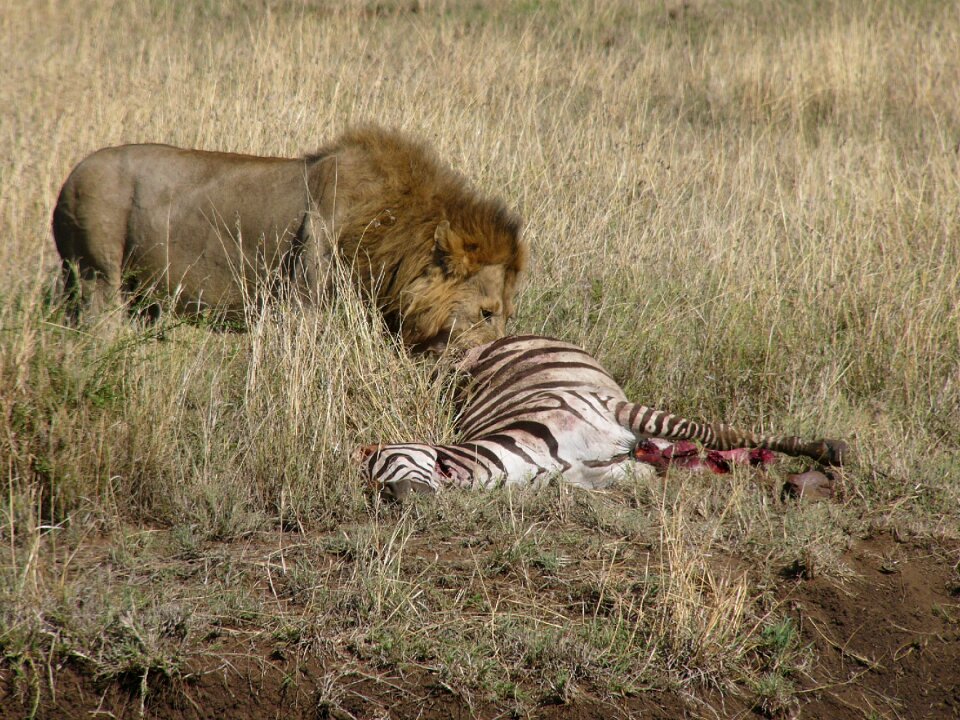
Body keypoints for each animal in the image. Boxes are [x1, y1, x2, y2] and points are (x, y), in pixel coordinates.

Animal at [51, 125, 524, 352]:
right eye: (486, 313)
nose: (498, 355)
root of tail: (70, 177)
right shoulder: (302, 306)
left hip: (142, 296)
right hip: (97, 276)